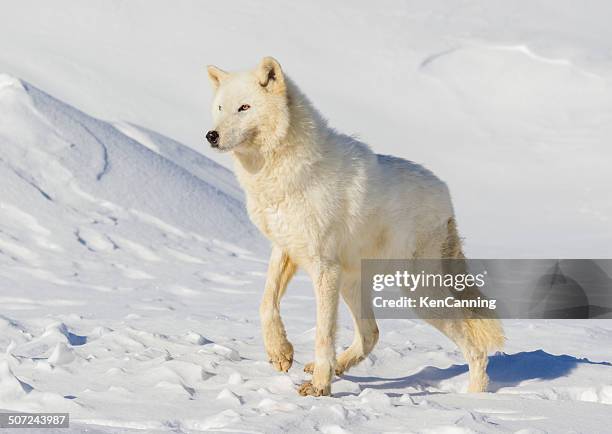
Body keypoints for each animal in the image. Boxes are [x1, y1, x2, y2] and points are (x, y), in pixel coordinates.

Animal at [206, 56, 502, 396]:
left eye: (244, 107)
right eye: (220, 107)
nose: (211, 135)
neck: (284, 174)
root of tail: (447, 196)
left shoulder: (324, 268)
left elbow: (323, 333)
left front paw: (319, 388)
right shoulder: (285, 248)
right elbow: (266, 304)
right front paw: (281, 353)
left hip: (417, 295)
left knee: (475, 347)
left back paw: (474, 397)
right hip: (354, 284)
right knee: (371, 333)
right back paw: (335, 367)